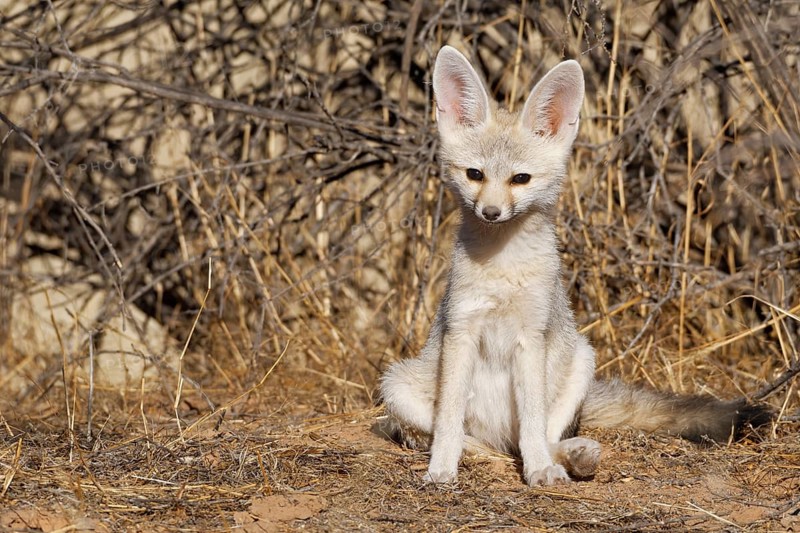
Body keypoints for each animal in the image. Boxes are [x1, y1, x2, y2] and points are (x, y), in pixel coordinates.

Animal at [378, 45, 772, 486]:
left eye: (520, 179)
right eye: (474, 174)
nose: (491, 212)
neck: (502, 268)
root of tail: (498, 435)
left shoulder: (531, 335)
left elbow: (533, 425)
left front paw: (537, 471)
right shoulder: (461, 330)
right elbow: (447, 423)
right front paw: (441, 470)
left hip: (582, 357)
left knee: (537, 438)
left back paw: (569, 457)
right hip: (396, 383)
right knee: (469, 440)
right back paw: (482, 453)